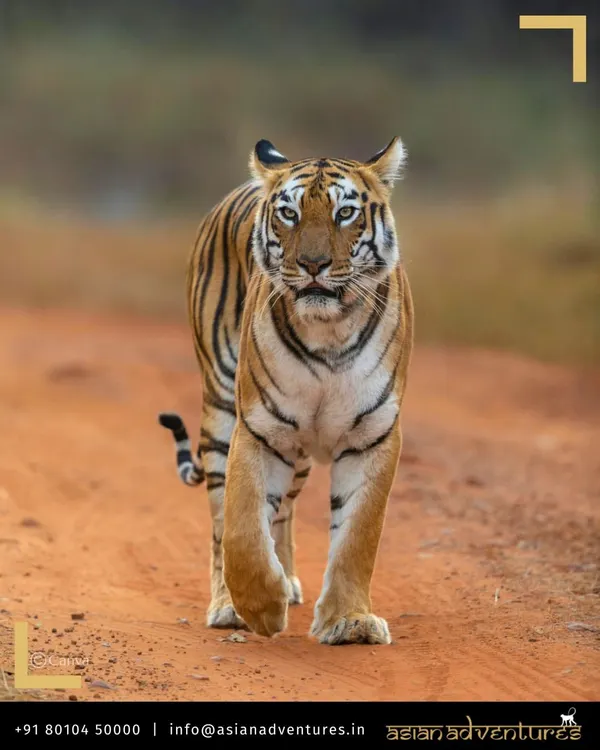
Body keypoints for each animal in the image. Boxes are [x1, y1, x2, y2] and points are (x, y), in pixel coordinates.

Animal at [158, 136, 414, 645]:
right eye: (290, 214)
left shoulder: (372, 435)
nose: (313, 265)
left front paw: (350, 621)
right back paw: (229, 605)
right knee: (223, 520)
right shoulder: (259, 429)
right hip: (221, 408)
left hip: (298, 456)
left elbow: (358, 535)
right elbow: (241, 528)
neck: (330, 332)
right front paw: (258, 608)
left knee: (284, 513)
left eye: (345, 213)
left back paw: (290, 581)